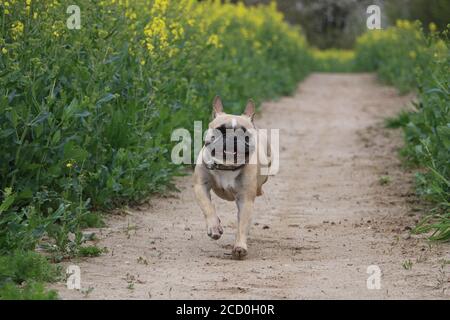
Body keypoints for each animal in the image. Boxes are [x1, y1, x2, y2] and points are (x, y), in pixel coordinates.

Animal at [192, 96, 270, 258]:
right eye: (221, 129)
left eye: (245, 134)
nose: (232, 137)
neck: (227, 166)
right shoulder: (200, 186)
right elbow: (207, 206)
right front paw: (214, 227)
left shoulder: (245, 200)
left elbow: (242, 225)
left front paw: (240, 246)